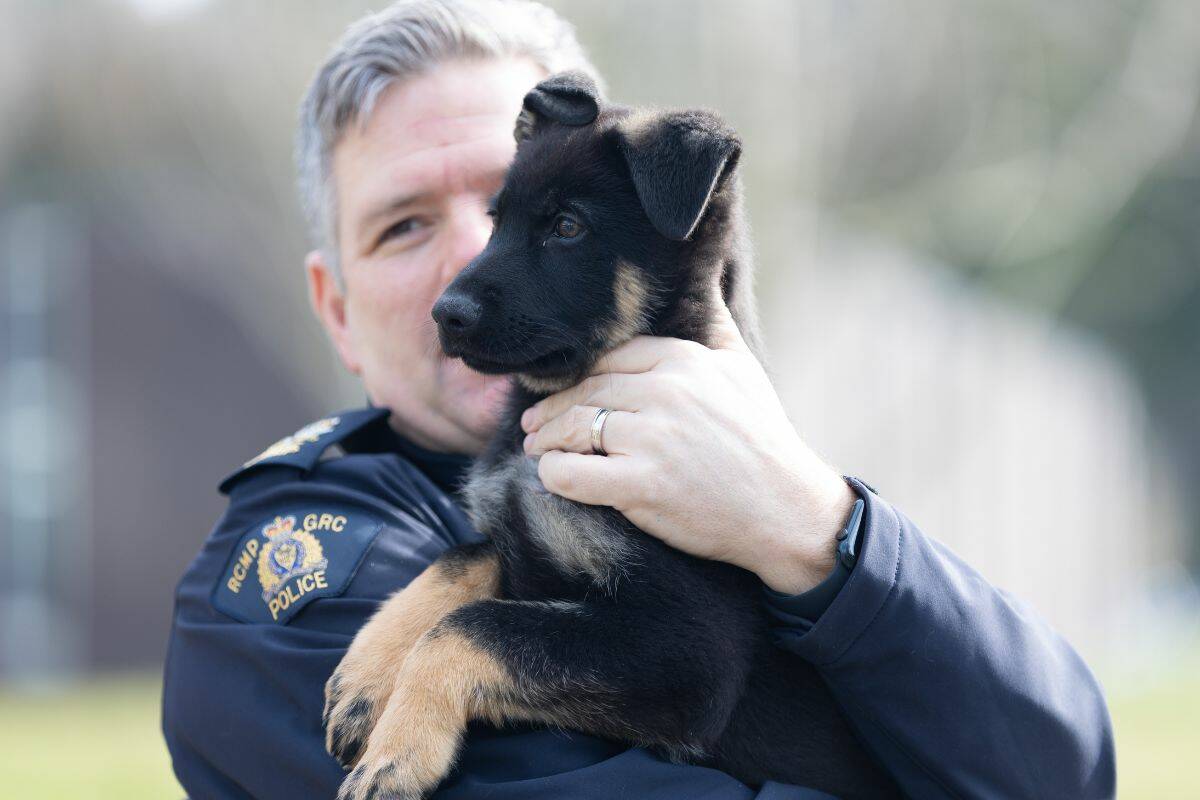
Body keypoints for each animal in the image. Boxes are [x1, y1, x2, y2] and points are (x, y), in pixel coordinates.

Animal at [324, 71, 897, 796]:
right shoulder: (518, 538)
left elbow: (474, 627)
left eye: (568, 227)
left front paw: (398, 752)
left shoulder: (689, 652)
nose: (443, 315)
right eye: (496, 222)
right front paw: (367, 676)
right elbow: (462, 557)